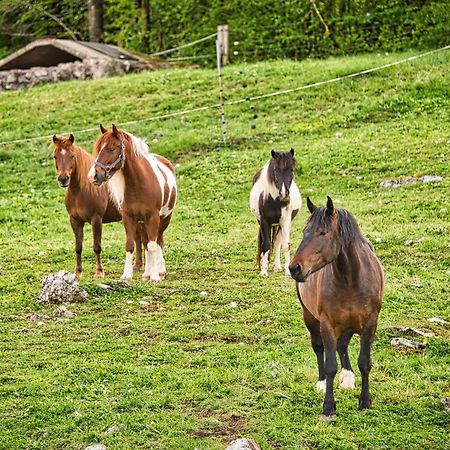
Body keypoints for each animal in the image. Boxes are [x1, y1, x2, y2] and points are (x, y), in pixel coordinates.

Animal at [52, 132, 142, 276]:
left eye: (72, 156)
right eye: (55, 156)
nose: (63, 179)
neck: (80, 191)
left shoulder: (96, 220)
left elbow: (96, 246)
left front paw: (99, 271)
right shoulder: (75, 221)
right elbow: (78, 247)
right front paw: (78, 272)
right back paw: (137, 266)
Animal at [88, 123, 178, 284]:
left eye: (111, 148)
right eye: (98, 149)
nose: (93, 176)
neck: (139, 183)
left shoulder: (153, 217)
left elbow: (153, 245)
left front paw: (155, 276)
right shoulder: (128, 218)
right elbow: (131, 245)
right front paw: (127, 275)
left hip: (164, 219)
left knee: (158, 241)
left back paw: (160, 271)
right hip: (142, 223)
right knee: (146, 242)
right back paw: (147, 273)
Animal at [250, 150, 302, 278]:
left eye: (291, 169)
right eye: (275, 169)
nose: (284, 193)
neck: (276, 201)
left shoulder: (285, 220)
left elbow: (285, 244)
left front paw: (288, 271)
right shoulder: (264, 221)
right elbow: (266, 244)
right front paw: (264, 271)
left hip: (279, 224)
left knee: (278, 241)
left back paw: (277, 266)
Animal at [288, 197, 384, 418]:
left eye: (323, 233)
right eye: (305, 232)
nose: (294, 268)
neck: (351, 280)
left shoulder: (370, 323)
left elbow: (364, 362)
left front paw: (365, 402)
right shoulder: (327, 324)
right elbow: (330, 364)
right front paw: (328, 406)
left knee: (343, 345)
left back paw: (348, 377)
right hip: (310, 317)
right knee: (319, 348)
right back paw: (322, 383)